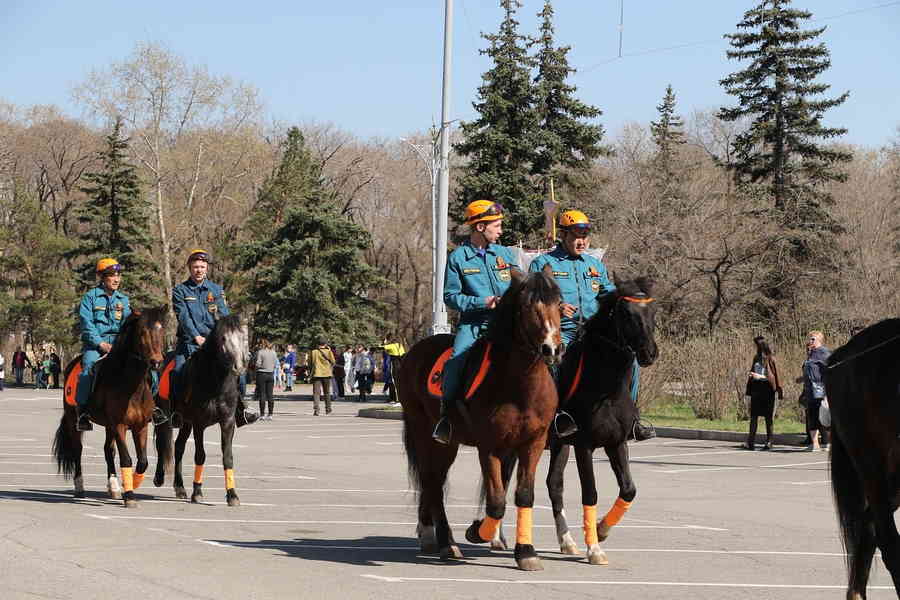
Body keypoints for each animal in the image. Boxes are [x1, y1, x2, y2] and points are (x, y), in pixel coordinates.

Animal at [52, 308, 172, 508]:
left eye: (162, 331)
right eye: (142, 332)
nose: (156, 361)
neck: (131, 386)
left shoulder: (140, 426)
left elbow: (143, 461)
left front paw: (131, 483)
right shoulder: (119, 425)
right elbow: (126, 458)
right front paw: (129, 495)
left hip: (109, 426)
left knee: (108, 450)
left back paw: (114, 487)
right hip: (73, 420)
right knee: (78, 450)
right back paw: (80, 487)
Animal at [152, 314, 248, 506]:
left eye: (243, 337)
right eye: (223, 338)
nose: (238, 367)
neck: (216, 381)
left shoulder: (227, 422)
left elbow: (228, 457)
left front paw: (232, 495)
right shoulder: (199, 423)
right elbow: (200, 455)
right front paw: (197, 492)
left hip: (185, 423)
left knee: (178, 447)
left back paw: (180, 487)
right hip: (164, 418)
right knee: (162, 444)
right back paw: (159, 478)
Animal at [400, 268, 564, 572]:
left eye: (559, 303)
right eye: (526, 306)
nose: (552, 349)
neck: (520, 386)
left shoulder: (533, 444)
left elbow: (524, 494)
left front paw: (526, 552)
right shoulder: (490, 447)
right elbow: (496, 501)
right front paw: (478, 532)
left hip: (447, 443)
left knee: (434, 481)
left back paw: (429, 535)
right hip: (427, 434)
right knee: (432, 482)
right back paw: (446, 543)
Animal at [540, 276, 660, 568]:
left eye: (653, 311)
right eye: (626, 313)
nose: (649, 353)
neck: (607, 389)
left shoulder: (616, 443)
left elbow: (629, 490)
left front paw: (601, 529)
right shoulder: (584, 446)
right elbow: (590, 493)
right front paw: (594, 549)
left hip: (559, 445)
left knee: (554, 485)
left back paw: (567, 542)